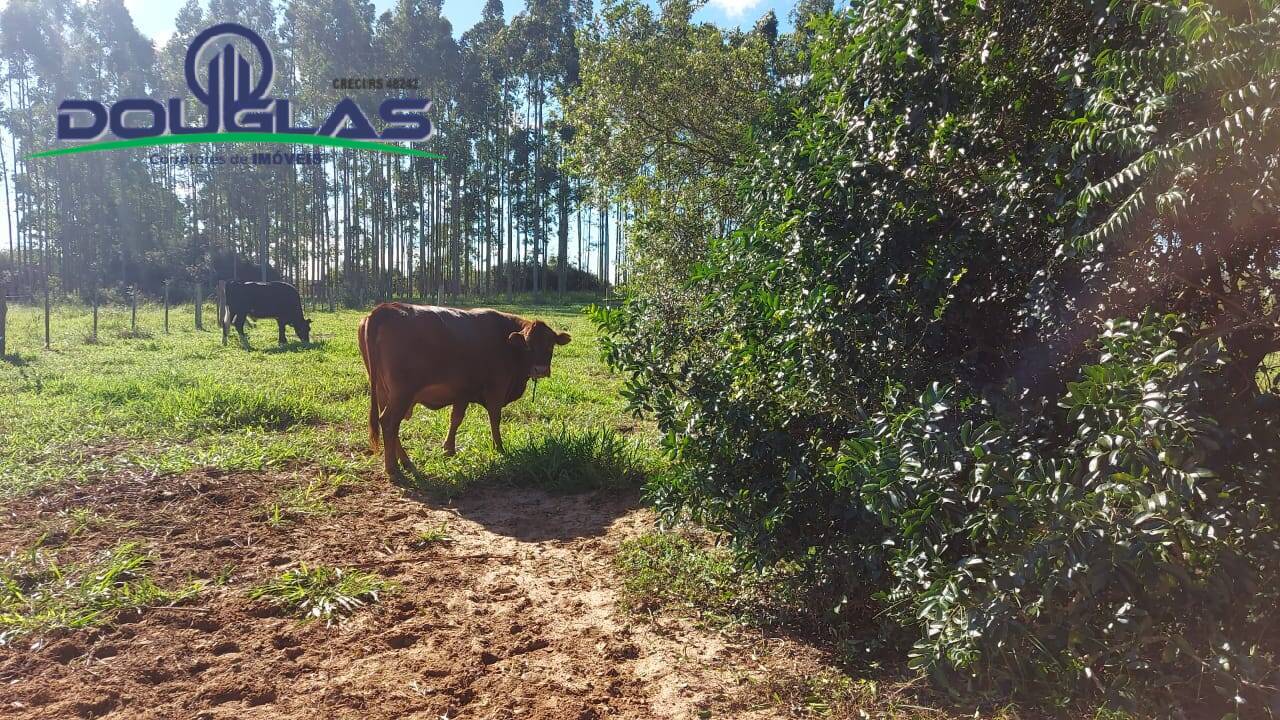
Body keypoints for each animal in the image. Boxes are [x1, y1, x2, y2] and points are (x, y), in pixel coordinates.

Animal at [353, 302, 568, 476]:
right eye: (528, 345)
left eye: (551, 345)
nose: (540, 369)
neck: (506, 342)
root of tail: (386, 308)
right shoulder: (496, 388)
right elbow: (494, 418)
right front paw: (499, 448)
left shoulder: (462, 392)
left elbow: (455, 419)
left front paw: (448, 449)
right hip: (402, 394)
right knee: (389, 422)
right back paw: (393, 468)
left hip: (383, 391)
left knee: (389, 425)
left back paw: (405, 462)